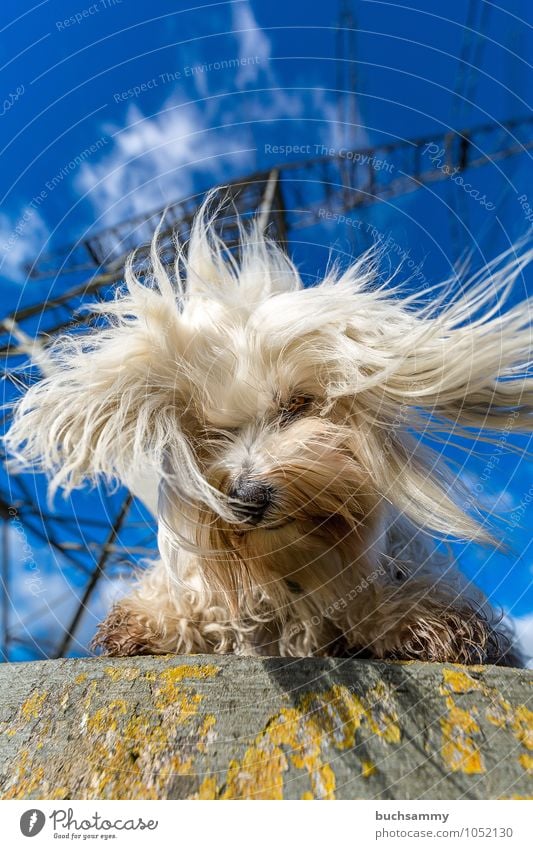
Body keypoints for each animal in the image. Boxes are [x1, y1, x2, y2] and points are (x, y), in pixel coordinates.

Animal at [5, 200, 532, 664]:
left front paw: (421, 619)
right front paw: (157, 621)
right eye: (206, 432)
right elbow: (200, 597)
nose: (247, 498)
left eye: (298, 404)